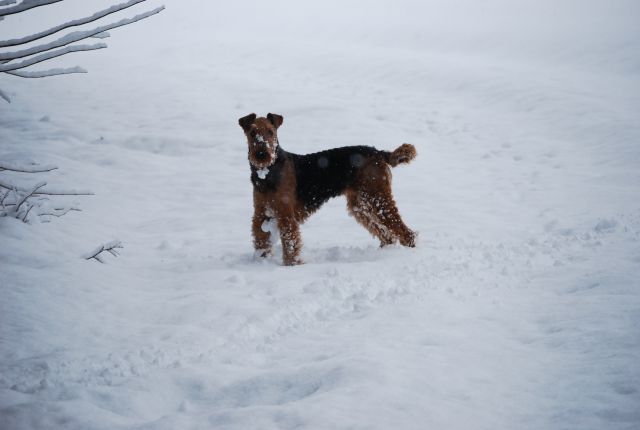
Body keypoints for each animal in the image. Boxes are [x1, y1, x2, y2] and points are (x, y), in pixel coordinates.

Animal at [239, 111, 416, 266]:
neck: (267, 173)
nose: (262, 154)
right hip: (361, 205)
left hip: (377, 198)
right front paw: (261, 261)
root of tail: (379, 153)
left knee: (405, 232)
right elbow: (261, 240)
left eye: (270, 131)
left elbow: (290, 244)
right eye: (252, 132)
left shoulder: (286, 215)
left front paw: (292, 265)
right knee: (387, 235)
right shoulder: (261, 214)